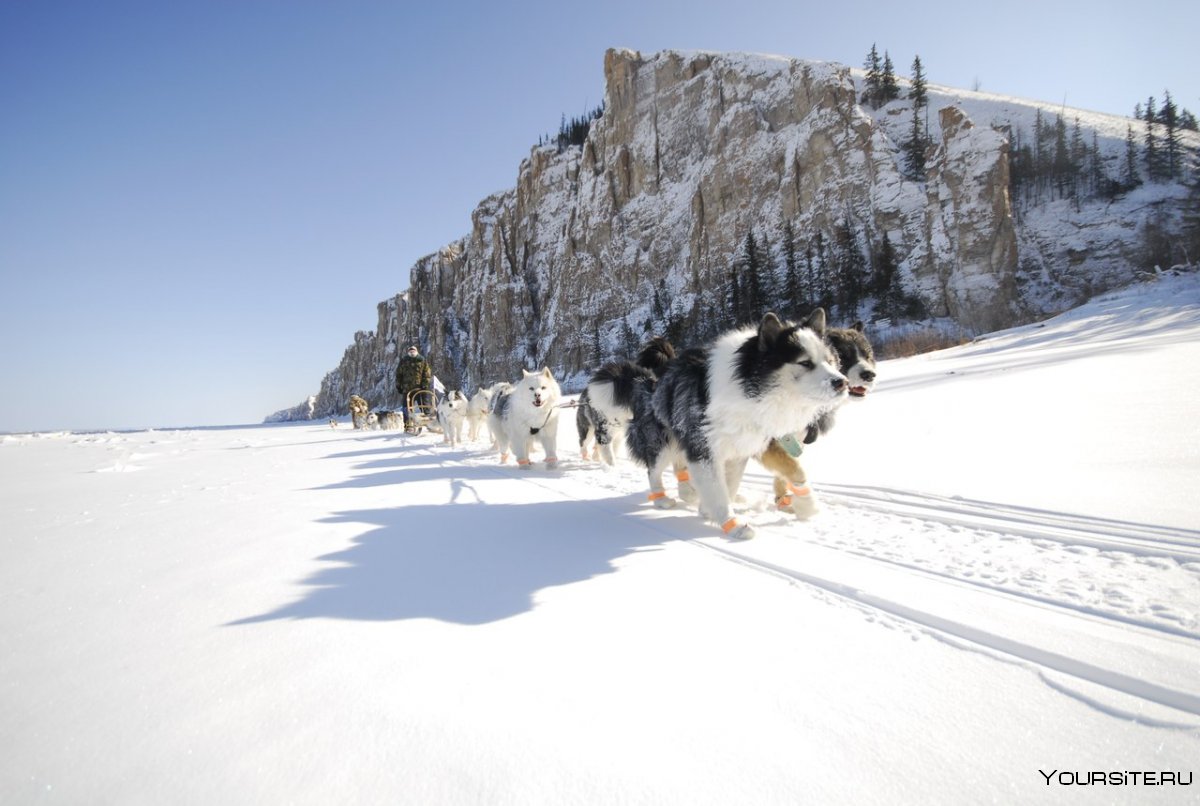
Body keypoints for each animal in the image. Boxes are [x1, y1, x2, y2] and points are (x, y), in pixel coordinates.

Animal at [624, 311, 849, 537]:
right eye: (805, 363)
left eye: (829, 361)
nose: (842, 382)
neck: (746, 387)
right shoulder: (704, 448)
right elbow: (719, 490)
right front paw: (732, 524)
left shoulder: (742, 448)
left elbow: (731, 484)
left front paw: (710, 510)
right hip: (662, 443)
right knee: (654, 470)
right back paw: (661, 499)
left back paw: (691, 493)